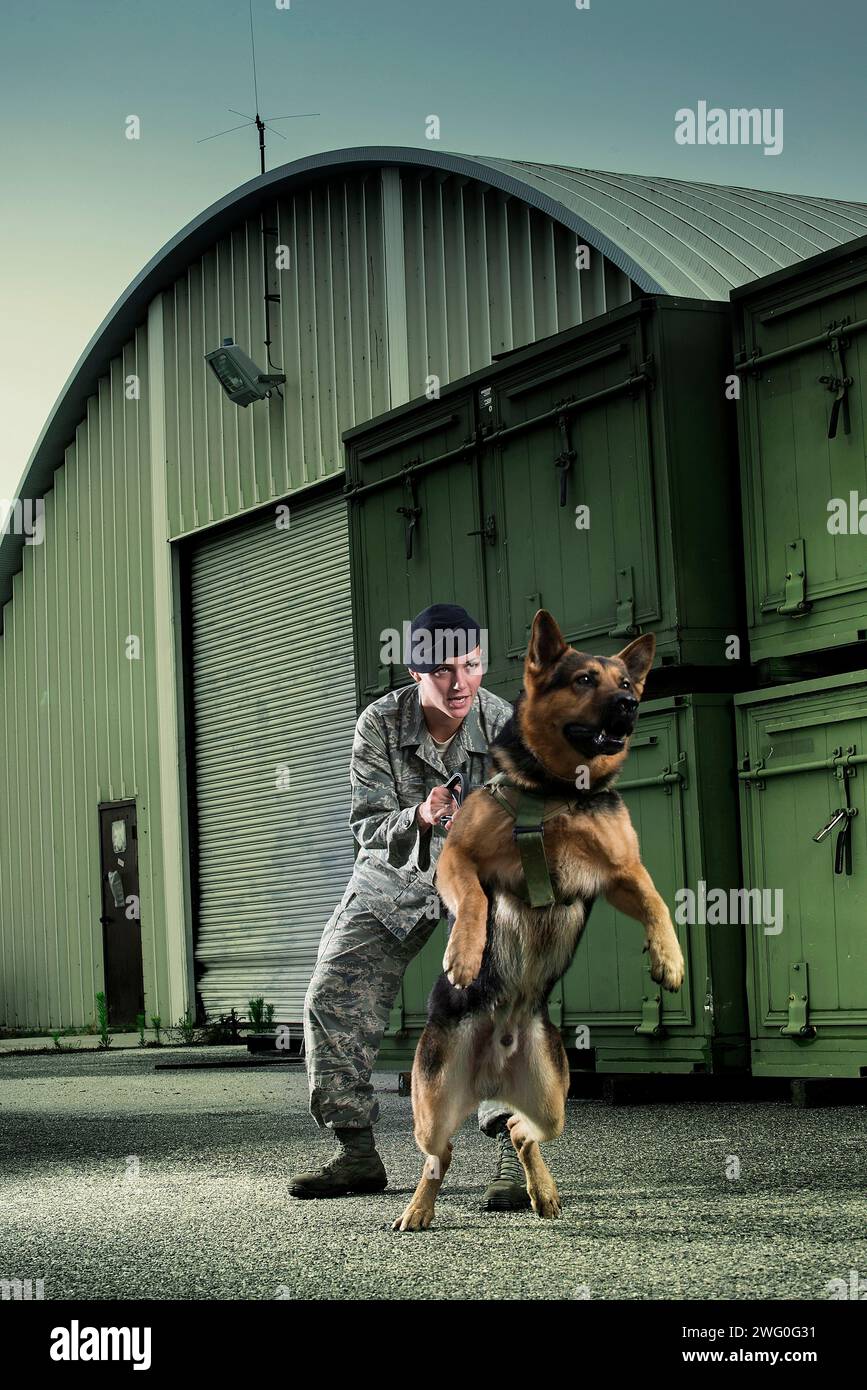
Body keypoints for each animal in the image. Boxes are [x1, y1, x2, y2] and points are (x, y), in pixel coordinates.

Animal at [391, 614, 683, 1234]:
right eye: (583, 679)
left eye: (627, 682)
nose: (629, 705)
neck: (556, 790)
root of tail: (492, 1068)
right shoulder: (457, 858)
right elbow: (476, 902)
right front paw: (464, 955)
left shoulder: (620, 873)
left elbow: (657, 901)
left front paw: (670, 959)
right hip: (432, 1106)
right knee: (438, 1155)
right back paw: (419, 1208)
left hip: (554, 1102)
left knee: (521, 1131)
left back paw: (541, 1189)